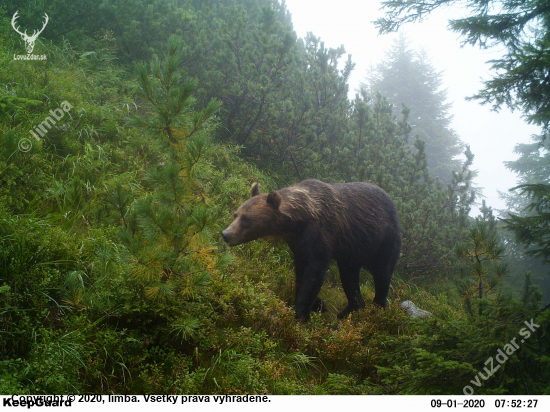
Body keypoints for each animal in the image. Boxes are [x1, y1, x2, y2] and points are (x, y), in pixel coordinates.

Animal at [222, 178, 404, 322]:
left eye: (247, 219)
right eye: (235, 214)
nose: (226, 234)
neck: (298, 220)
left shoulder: (321, 235)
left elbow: (314, 273)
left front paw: (300, 312)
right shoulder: (299, 244)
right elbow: (301, 272)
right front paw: (317, 304)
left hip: (383, 241)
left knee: (382, 274)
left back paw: (378, 310)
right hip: (351, 253)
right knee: (349, 278)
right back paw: (348, 311)